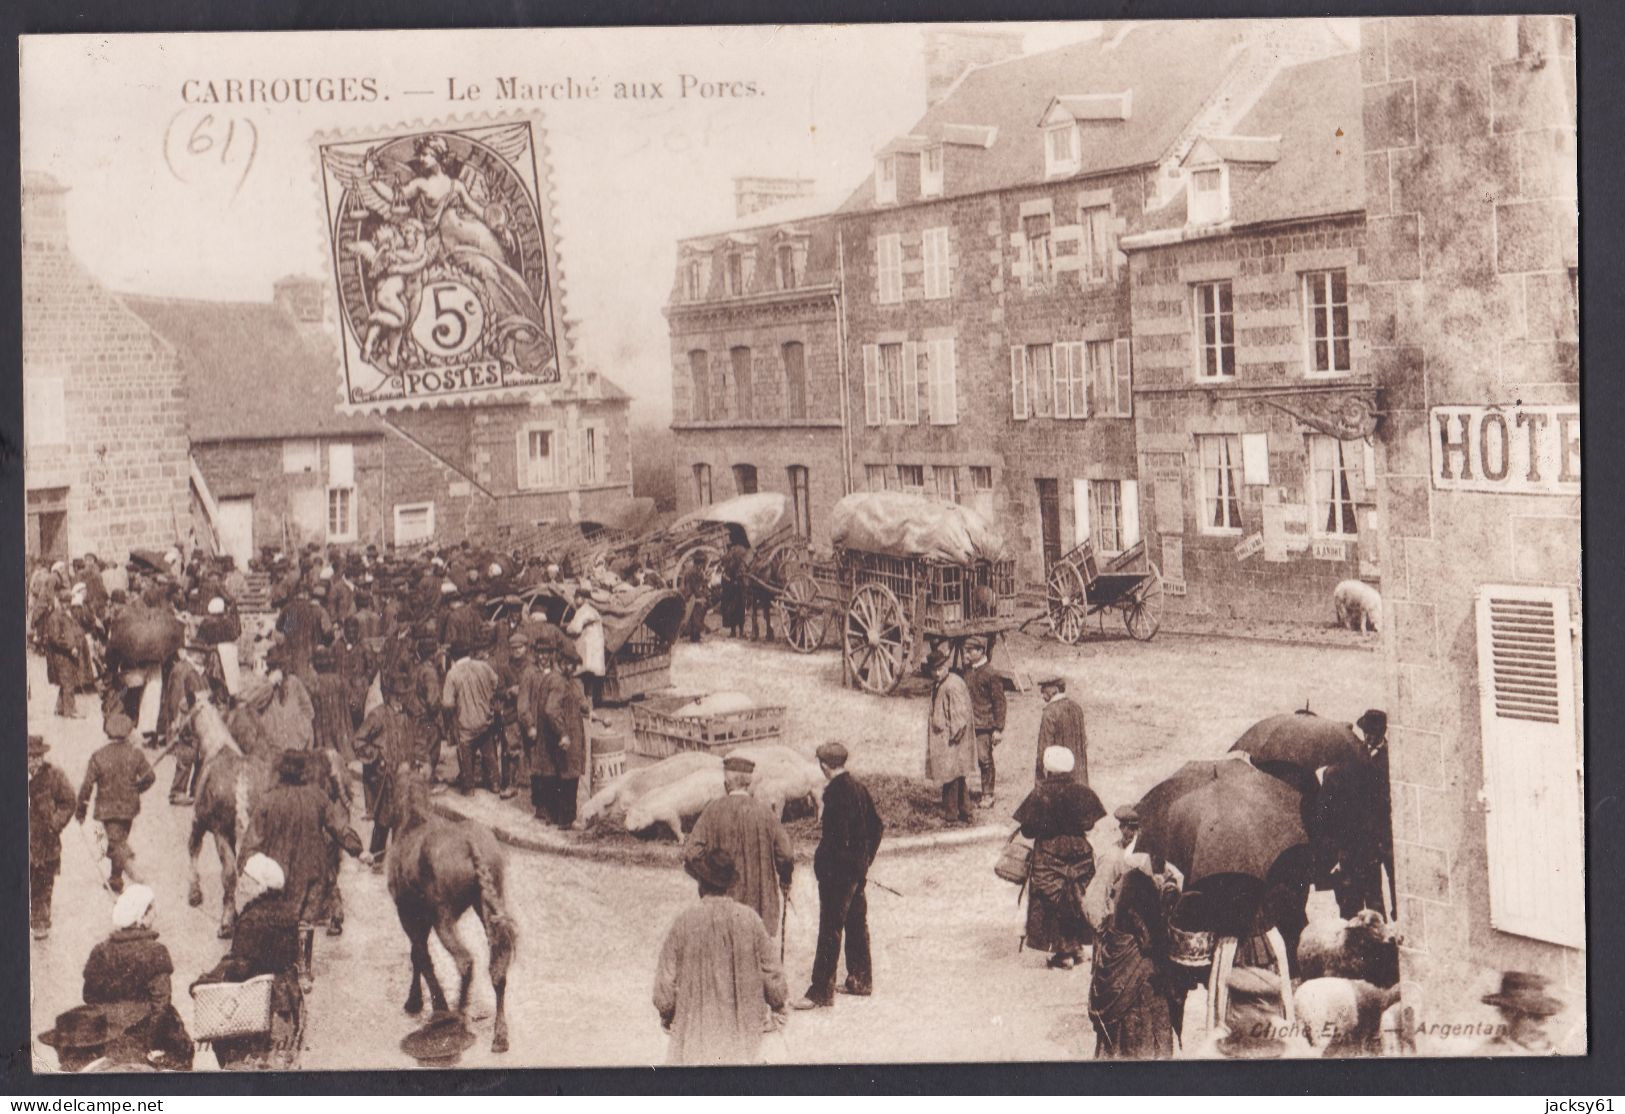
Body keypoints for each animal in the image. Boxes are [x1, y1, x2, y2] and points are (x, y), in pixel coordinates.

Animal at [186, 695, 274, 935]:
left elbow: (193, 851)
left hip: (221, 833)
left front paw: (195, 894)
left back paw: (226, 923)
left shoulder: (200, 823)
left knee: (229, 874)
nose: (178, 732)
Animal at [386, 776, 513, 1058]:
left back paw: (456, 1015)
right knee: (497, 968)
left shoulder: (408, 914)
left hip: (444, 918)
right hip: (488, 907)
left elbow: (420, 956)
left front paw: (426, 1004)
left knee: (465, 961)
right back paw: (500, 1035)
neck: (412, 819)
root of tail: (470, 845)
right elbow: (419, 955)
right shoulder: (420, 917)